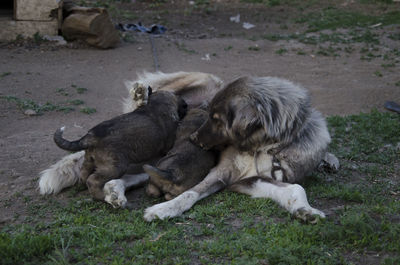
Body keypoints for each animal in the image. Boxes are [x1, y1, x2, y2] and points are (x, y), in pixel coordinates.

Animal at [52, 90, 188, 200]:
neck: (157, 104)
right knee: (93, 180)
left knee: (84, 174)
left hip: (89, 160)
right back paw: (101, 196)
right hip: (115, 167)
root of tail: (90, 136)